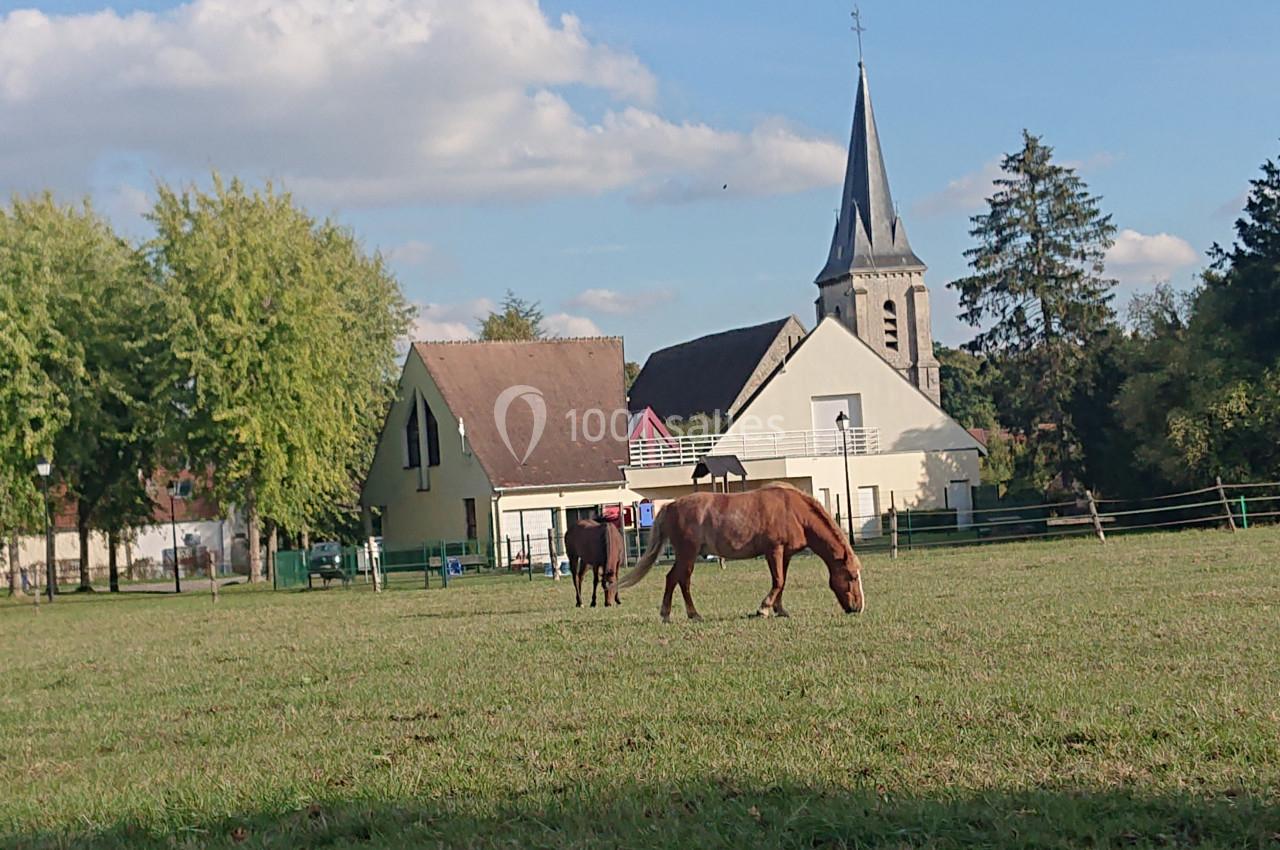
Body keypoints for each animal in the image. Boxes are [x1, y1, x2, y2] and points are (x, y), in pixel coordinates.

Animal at [617, 483, 864, 622]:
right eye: (851, 576)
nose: (858, 608)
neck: (795, 511)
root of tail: (670, 506)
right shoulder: (774, 550)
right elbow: (778, 581)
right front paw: (764, 609)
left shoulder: (785, 554)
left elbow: (782, 582)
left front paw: (779, 609)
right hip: (688, 554)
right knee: (682, 581)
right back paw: (693, 614)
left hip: (684, 555)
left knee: (671, 579)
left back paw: (666, 614)